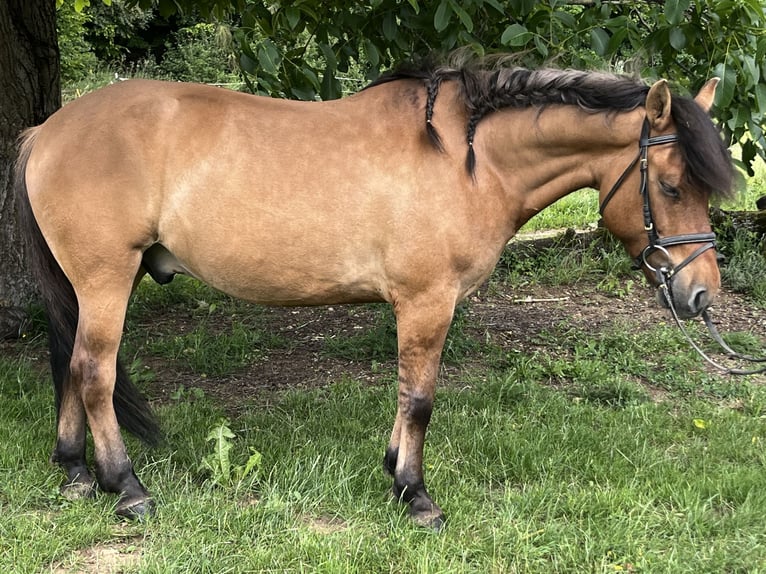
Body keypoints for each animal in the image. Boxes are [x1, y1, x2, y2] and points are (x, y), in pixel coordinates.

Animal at [14, 60, 734, 529]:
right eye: (672, 185)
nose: (701, 296)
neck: (470, 161)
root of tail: (46, 131)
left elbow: (406, 396)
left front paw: (394, 470)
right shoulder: (427, 302)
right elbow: (419, 399)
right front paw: (415, 494)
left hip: (99, 282)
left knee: (70, 366)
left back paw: (75, 471)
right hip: (107, 278)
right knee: (95, 372)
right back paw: (126, 488)